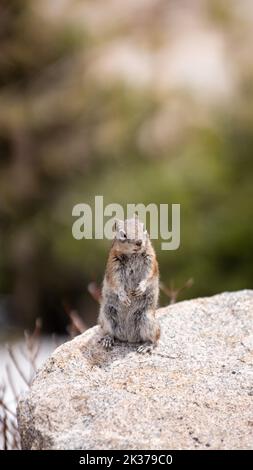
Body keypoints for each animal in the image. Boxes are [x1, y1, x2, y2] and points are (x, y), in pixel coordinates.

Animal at [98, 216, 160, 352]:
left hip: (148, 319)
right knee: (109, 332)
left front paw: (140, 288)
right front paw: (124, 298)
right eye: (124, 235)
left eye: (143, 228)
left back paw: (146, 346)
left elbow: (149, 276)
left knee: (156, 338)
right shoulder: (113, 265)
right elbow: (116, 283)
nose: (139, 242)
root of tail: (128, 338)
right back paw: (107, 340)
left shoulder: (151, 261)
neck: (133, 254)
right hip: (107, 316)